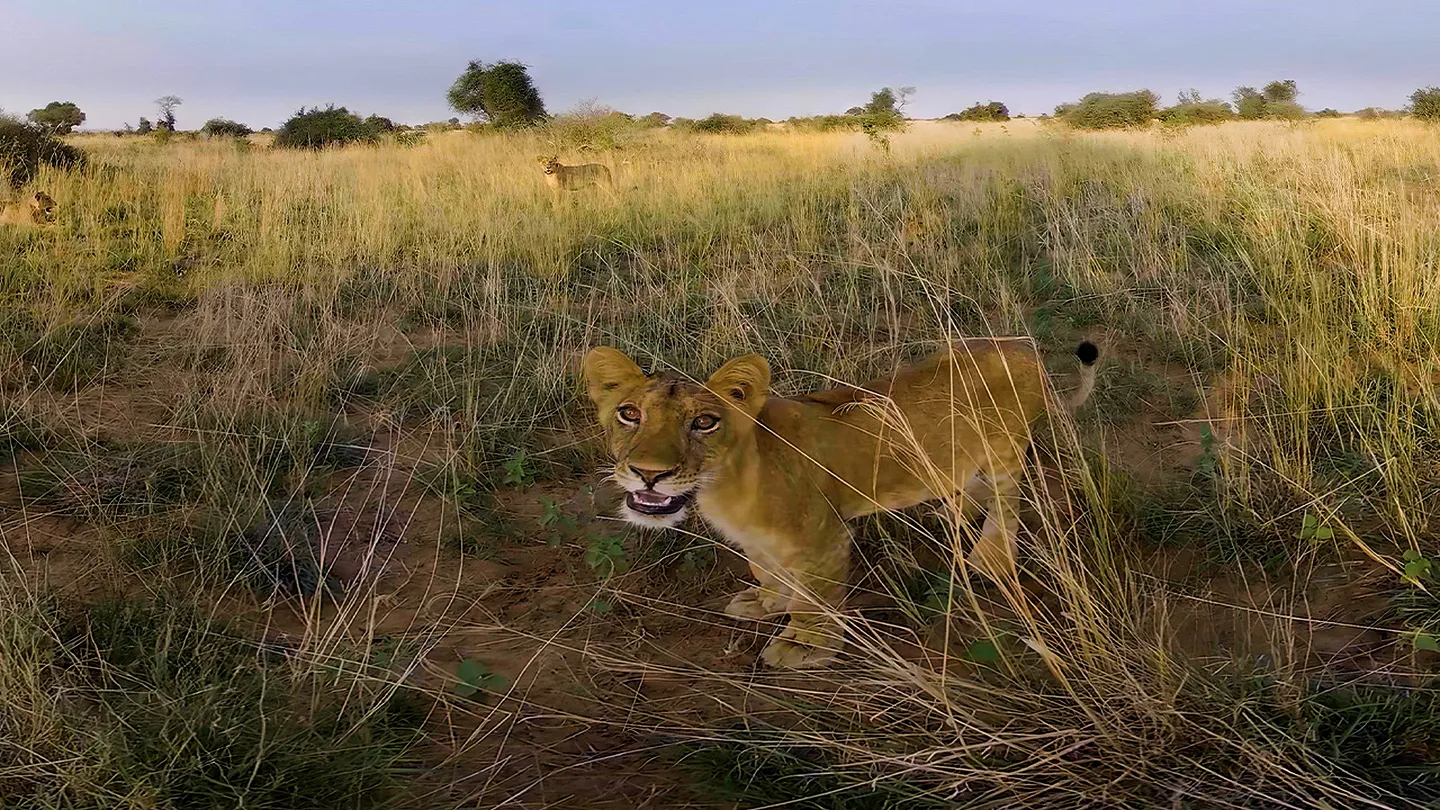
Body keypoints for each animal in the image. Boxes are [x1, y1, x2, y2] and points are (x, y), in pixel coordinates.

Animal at [583, 338, 1100, 668]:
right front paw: (767, 601)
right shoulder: (759, 542)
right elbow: (765, 570)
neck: (723, 484)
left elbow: (814, 598)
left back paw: (987, 559)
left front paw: (803, 647)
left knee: (1008, 504)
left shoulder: (824, 536)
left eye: (704, 423)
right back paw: (951, 511)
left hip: (1005, 453)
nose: (649, 473)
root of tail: (1025, 350)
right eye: (629, 414)